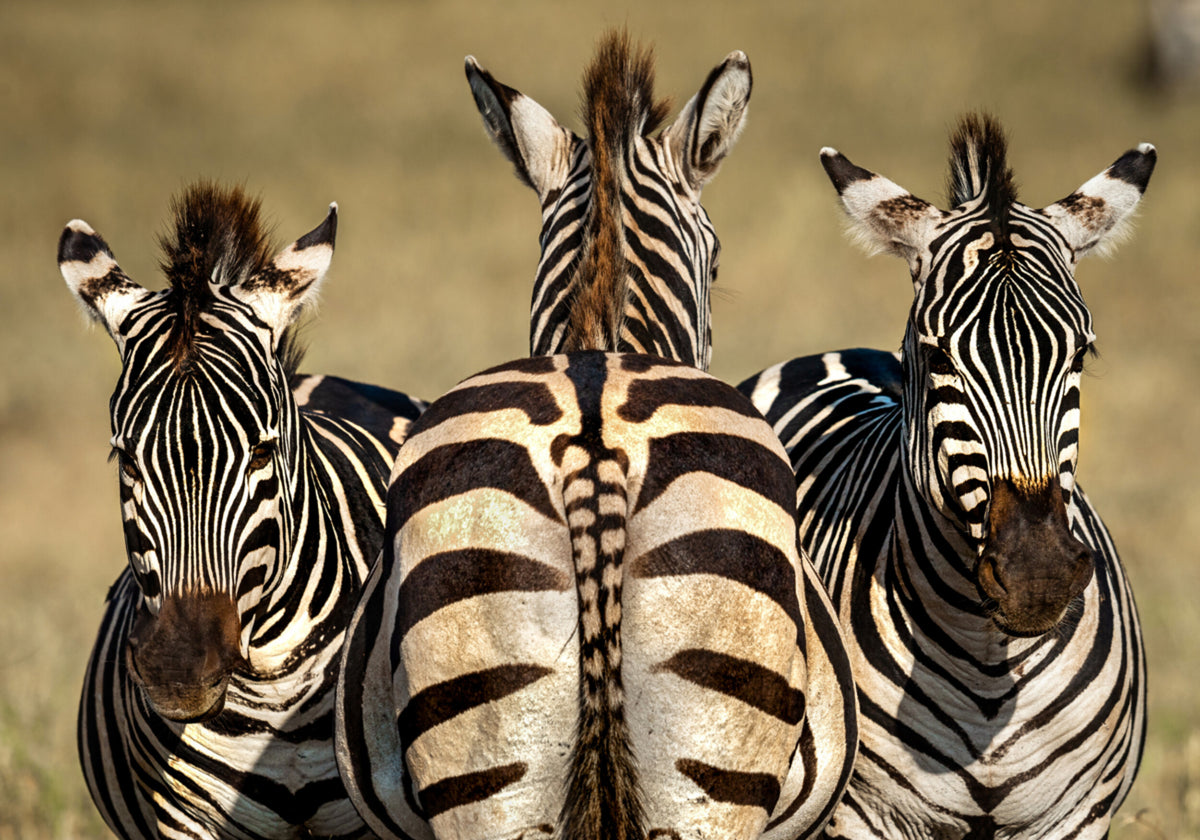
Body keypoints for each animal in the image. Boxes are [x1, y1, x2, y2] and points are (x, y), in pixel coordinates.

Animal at [739, 114, 1154, 839]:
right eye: (937, 357)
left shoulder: (1078, 817)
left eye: (1082, 352)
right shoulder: (862, 816)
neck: (991, 665)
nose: (1038, 574)